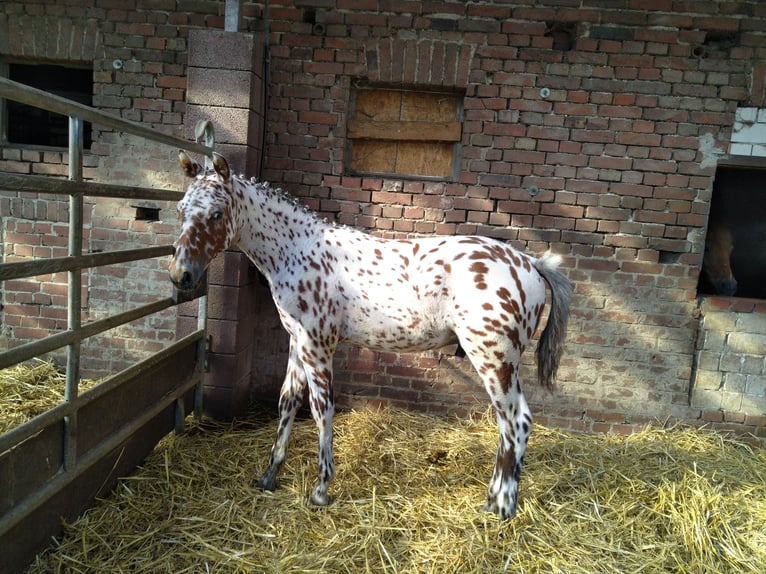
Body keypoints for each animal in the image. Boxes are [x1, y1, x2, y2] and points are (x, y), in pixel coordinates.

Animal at [171, 153, 572, 520]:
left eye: (217, 214)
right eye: (180, 209)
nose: (180, 275)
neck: (297, 250)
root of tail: (531, 264)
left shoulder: (318, 345)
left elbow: (321, 409)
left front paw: (320, 489)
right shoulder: (297, 342)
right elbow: (287, 402)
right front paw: (269, 476)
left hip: (492, 358)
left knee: (517, 422)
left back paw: (502, 508)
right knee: (507, 427)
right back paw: (492, 501)